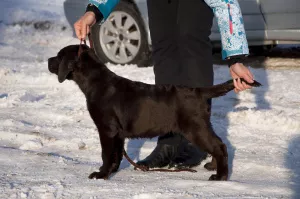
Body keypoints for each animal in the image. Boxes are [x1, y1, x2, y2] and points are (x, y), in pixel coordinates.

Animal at [47, 44, 260, 180]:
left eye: (59, 56)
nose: (48, 60)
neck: (95, 82)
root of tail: (199, 91)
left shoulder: (107, 129)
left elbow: (106, 154)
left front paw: (101, 174)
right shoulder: (117, 133)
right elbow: (116, 154)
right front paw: (111, 172)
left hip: (195, 128)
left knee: (219, 146)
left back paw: (220, 176)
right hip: (201, 125)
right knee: (219, 144)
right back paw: (213, 167)